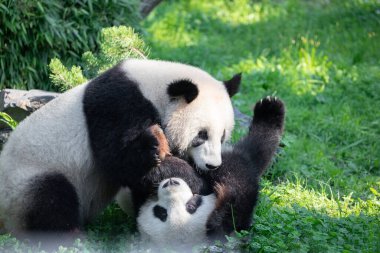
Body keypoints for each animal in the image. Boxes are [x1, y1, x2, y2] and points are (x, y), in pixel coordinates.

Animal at [0, 59, 240, 233]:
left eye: (222, 136)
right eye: (201, 135)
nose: (212, 165)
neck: (153, 88)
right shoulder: (116, 105)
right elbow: (120, 160)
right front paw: (197, 181)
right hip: (26, 181)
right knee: (51, 199)